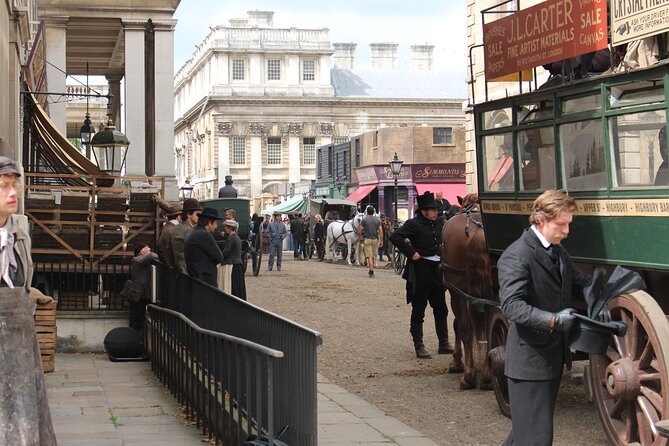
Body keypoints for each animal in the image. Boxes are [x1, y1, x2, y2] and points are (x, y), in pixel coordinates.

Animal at [440, 193, 494, 388]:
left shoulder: (456, 291)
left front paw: (457, 362)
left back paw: (469, 375)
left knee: (465, 326)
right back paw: (487, 375)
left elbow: (459, 325)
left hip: (460, 289)